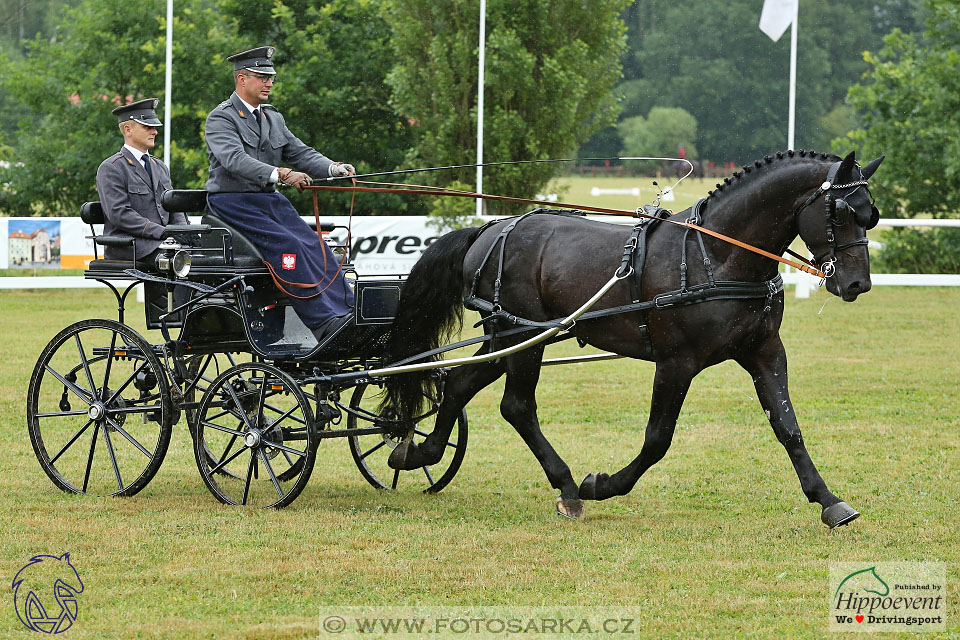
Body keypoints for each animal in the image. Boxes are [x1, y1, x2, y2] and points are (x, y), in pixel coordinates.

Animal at [382, 151, 884, 528]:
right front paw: (601, 485)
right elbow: (657, 438)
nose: (857, 284)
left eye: (872, 215)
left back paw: (420, 451)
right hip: (524, 334)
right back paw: (568, 487)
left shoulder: (764, 352)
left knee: (460, 383)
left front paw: (828, 500)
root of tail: (491, 228)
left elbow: (787, 426)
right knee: (517, 406)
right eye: (841, 212)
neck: (716, 254)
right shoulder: (677, 362)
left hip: (508, 335)